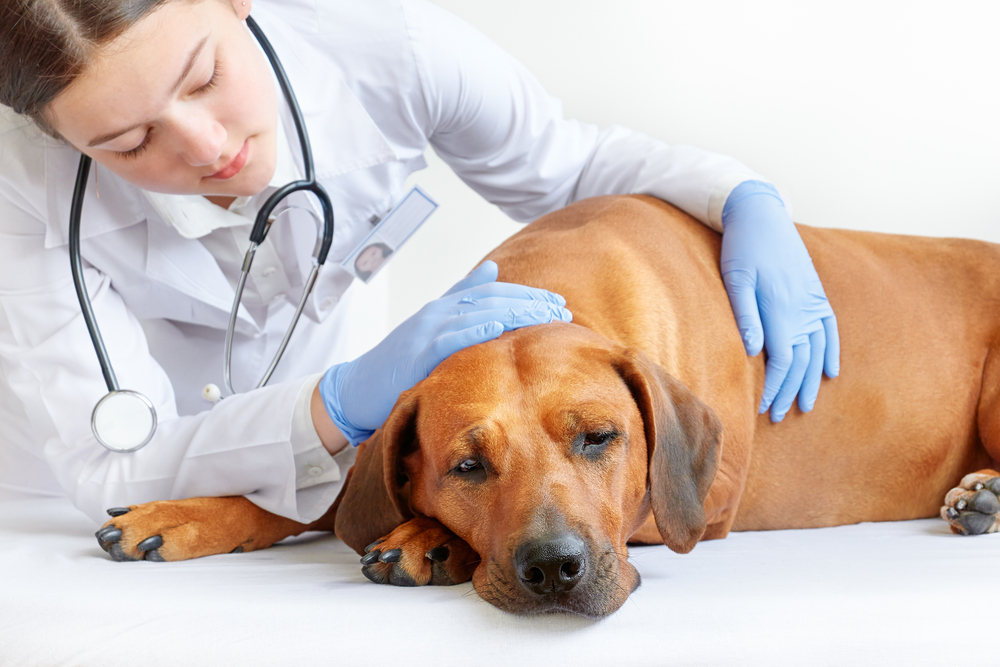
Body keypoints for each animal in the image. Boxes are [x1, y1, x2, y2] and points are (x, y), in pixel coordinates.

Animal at [95, 196, 1000, 620]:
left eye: (601, 437)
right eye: (467, 464)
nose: (553, 568)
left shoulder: (700, 505)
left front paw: (425, 538)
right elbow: (314, 492)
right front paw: (185, 510)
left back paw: (983, 493)